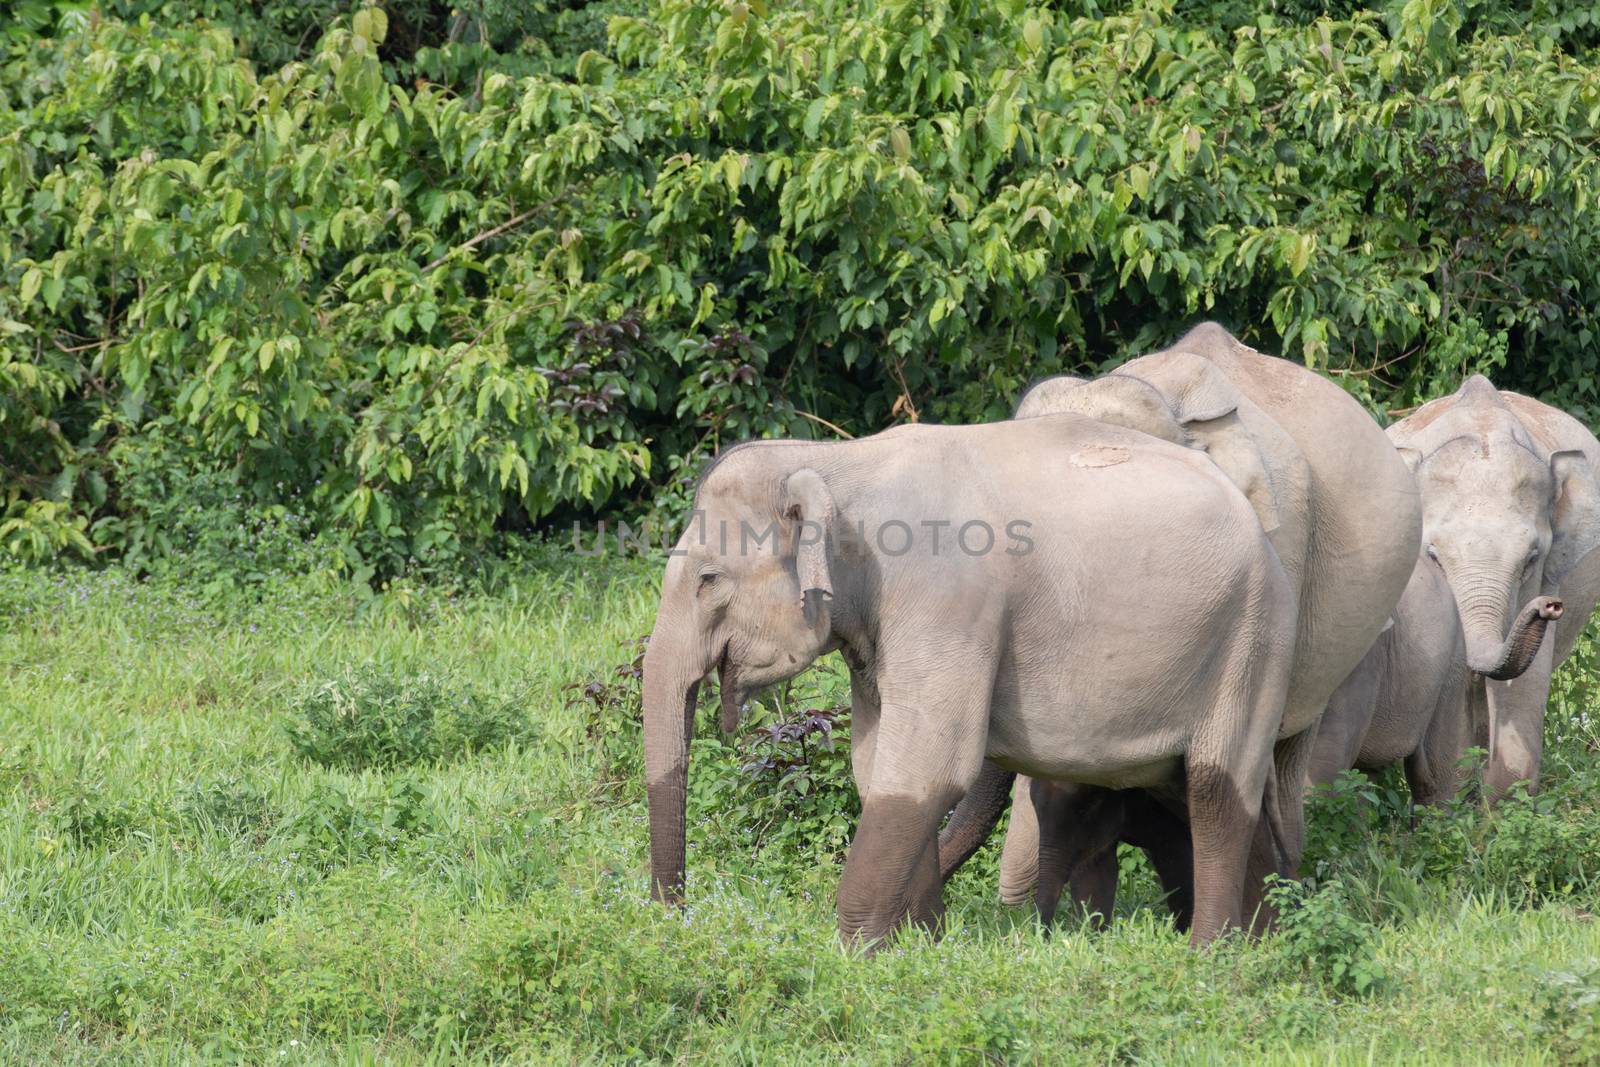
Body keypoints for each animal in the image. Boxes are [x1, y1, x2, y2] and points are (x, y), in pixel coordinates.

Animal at [640, 412, 1299, 947]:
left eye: (708, 579)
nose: (675, 918)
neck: (839, 462)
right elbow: (878, 766)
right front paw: (923, 947)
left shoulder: (947, 601)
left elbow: (928, 766)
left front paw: (854, 958)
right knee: (1195, 791)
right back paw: (1265, 947)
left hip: (1253, 642)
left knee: (1216, 791)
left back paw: (1210, 959)